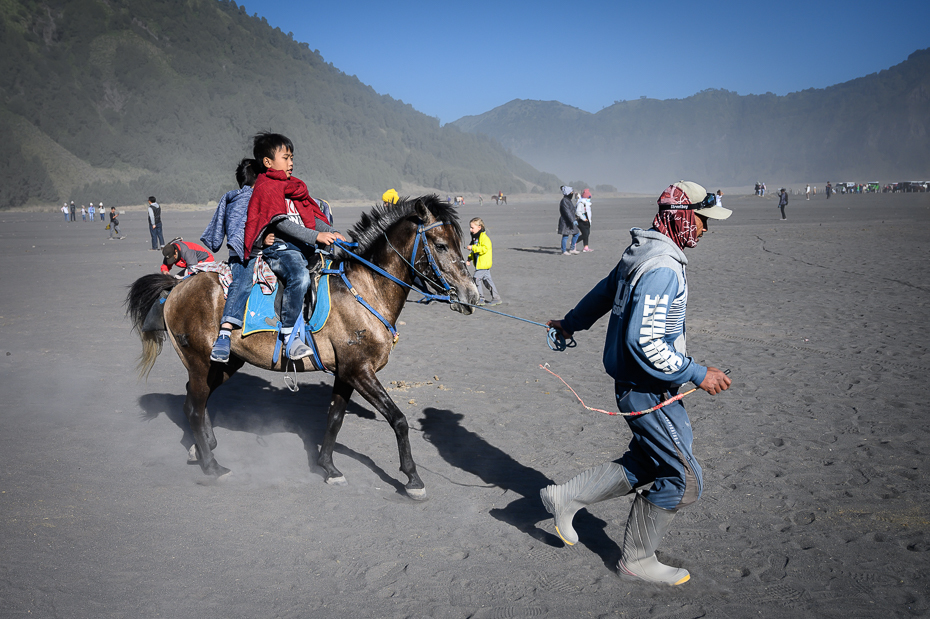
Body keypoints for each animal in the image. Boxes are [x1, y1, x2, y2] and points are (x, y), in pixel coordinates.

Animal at [125, 196, 478, 502]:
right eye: (441, 245)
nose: (471, 294)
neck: (365, 291)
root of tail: (177, 285)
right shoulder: (360, 371)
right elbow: (399, 420)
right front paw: (413, 479)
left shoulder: (345, 373)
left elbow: (334, 418)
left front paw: (329, 468)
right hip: (200, 362)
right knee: (194, 409)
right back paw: (213, 466)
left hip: (223, 363)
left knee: (195, 399)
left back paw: (201, 449)